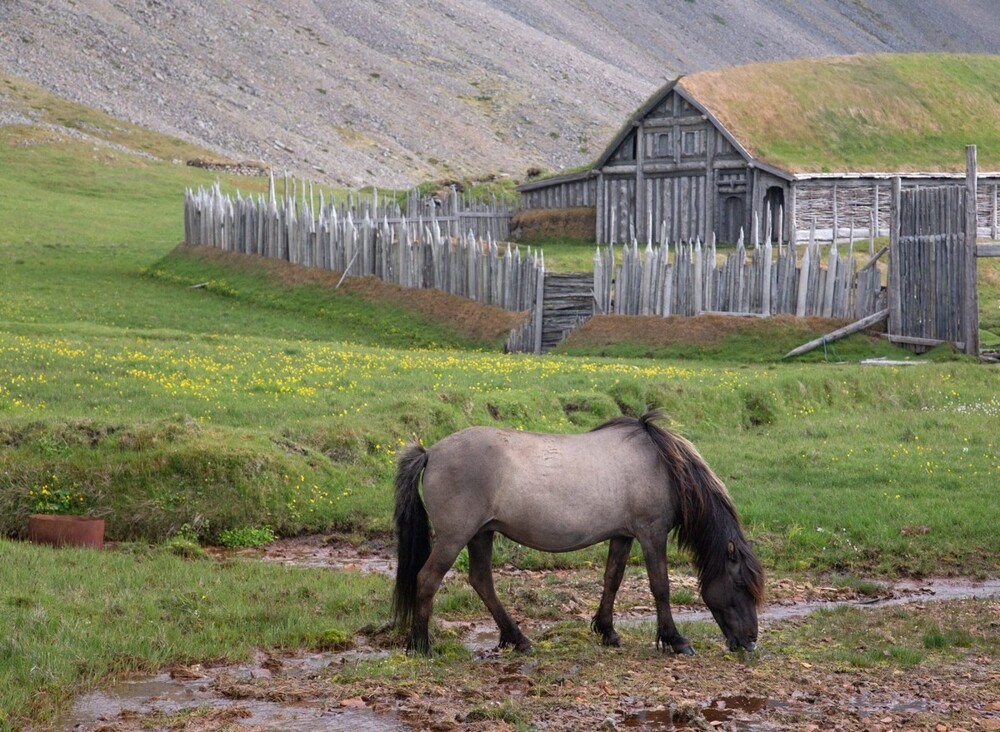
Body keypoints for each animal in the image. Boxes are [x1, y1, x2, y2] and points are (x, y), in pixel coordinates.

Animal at [392, 408, 764, 656]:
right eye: (740, 584)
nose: (749, 642)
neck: (661, 463)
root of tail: (430, 452)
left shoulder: (623, 535)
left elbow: (612, 579)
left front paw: (608, 631)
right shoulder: (651, 534)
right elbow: (660, 586)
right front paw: (675, 640)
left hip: (482, 533)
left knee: (482, 581)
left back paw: (518, 639)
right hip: (456, 536)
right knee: (427, 579)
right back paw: (422, 645)